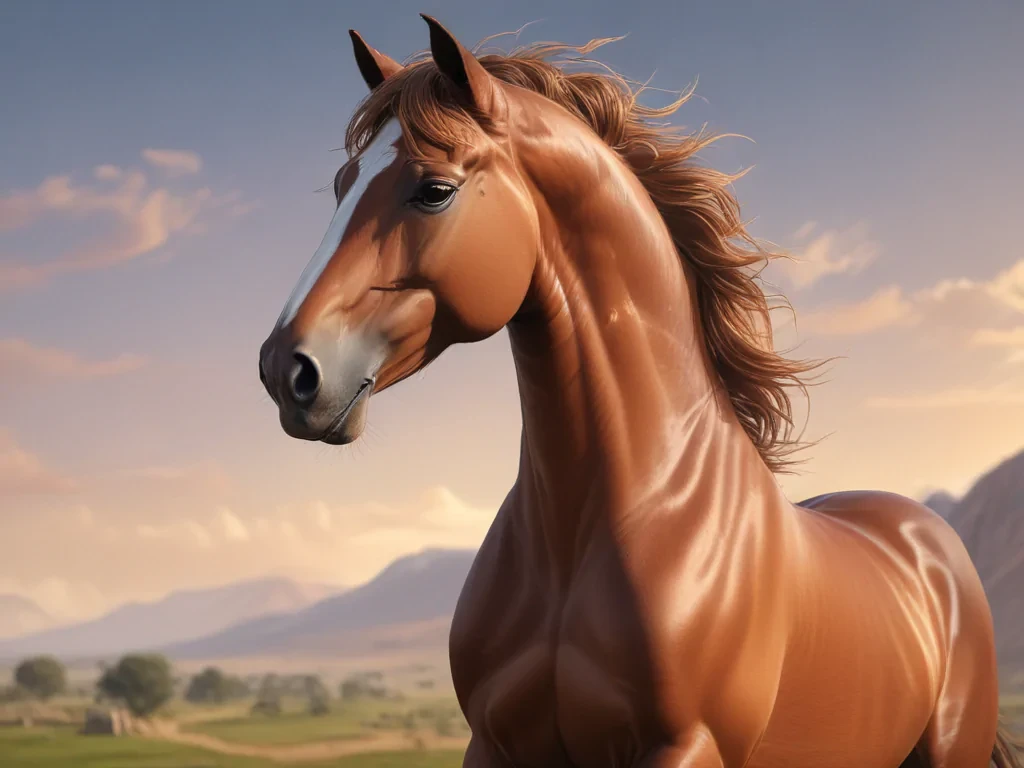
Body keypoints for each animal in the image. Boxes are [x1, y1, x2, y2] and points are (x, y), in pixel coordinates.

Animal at [258, 15, 1023, 768]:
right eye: (342, 184)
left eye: (434, 190)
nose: (284, 370)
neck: (598, 523)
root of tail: (925, 537)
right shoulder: (495, 744)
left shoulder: (686, 747)